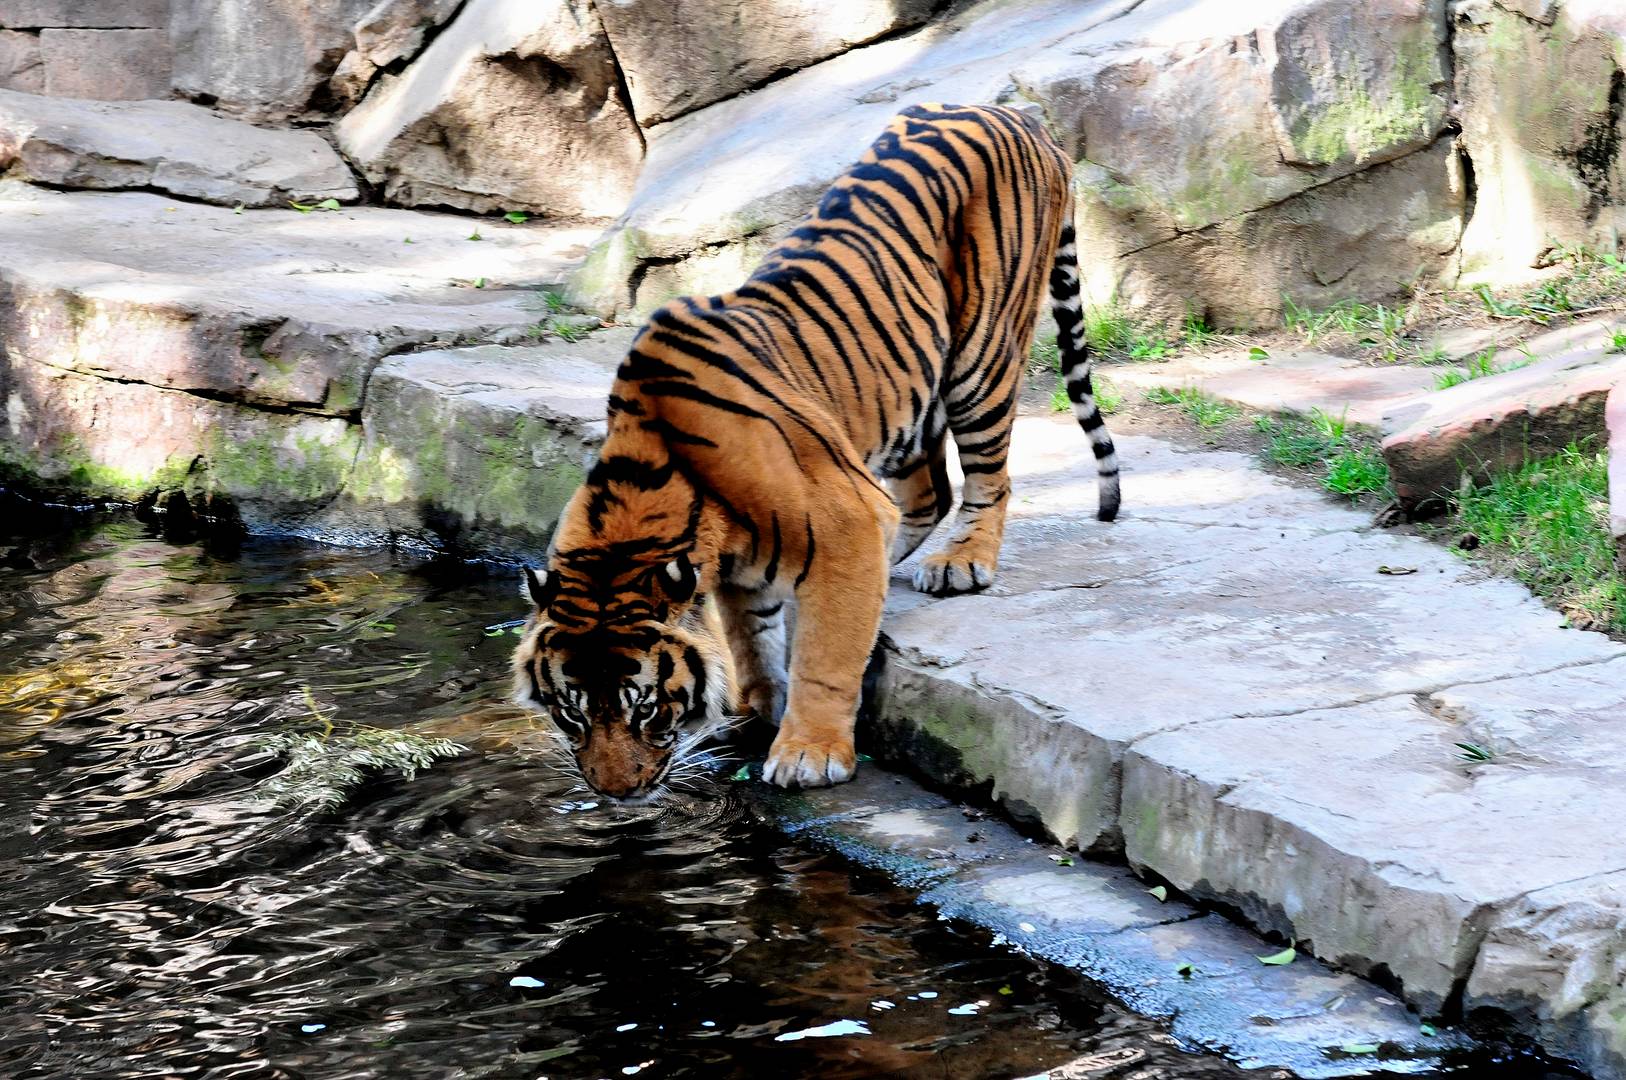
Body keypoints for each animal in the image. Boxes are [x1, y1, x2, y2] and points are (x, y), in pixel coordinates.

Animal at [513, 103, 1125, 800]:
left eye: (643, 706)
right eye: (571, 712)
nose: (615, 793)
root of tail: (1021, 114)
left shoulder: (844, 521)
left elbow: (826, 652)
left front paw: (807, 751)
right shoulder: (743, 567)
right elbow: (751, 641)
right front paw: (756, 709)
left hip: (982, 355)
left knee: (986, 479)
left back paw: (960, 562)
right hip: (905, 394)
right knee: (927, 492)